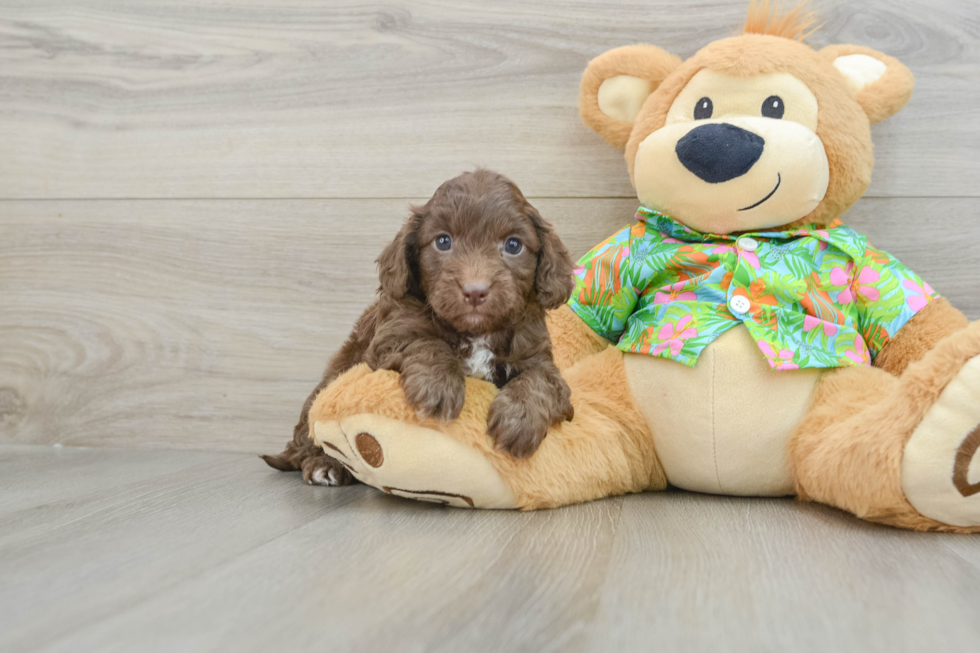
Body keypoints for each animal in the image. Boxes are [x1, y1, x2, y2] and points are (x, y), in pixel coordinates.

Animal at [264, 171, 580, 486]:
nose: (475, 291)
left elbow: (540, 380)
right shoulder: (391, 338)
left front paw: (520, 421)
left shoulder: (537, 355)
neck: (476, 332)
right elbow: (426, 343)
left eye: (514, 245)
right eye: (443, 241)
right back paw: (324, 465)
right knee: (308, 438)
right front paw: (438, 387)